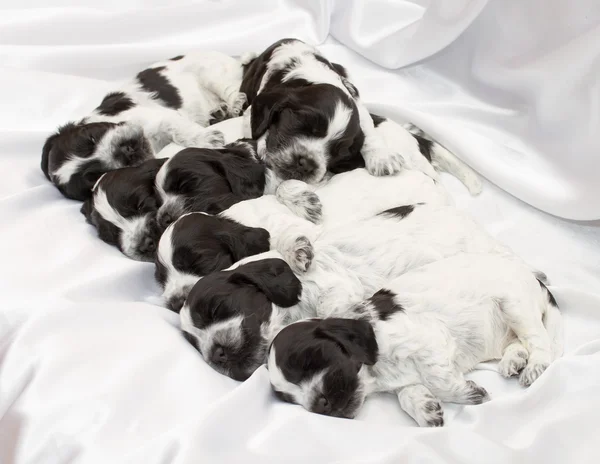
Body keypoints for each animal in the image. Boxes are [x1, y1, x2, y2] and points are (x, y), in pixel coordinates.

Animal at [41, 51, 246, 200]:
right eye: (96, 175)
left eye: (91, 138)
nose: (125, 151)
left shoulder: (162, 116)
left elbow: (179, 129)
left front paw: (207, 138)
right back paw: (220, 112)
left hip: (213, 73)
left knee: (234, 91)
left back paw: (234, 106)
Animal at [241, 38, 406, 183]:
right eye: (301, 124)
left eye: (338, 152)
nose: (307, 165)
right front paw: (263, 146)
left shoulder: (357, 103)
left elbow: (368, 129)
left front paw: (382, 158)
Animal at [268, 256, 564, 426]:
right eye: (290, 399)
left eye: (311, 360)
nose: (319, 406)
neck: (377, 374)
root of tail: (534, 279)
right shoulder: (402, 381)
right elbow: (408, 394)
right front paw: (426, 410)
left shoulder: (431, 340)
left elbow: (439, 381)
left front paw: (469, 393)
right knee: (520, 342)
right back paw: (514, 360)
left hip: (515, 305)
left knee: (540, 340)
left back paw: (534, 367)